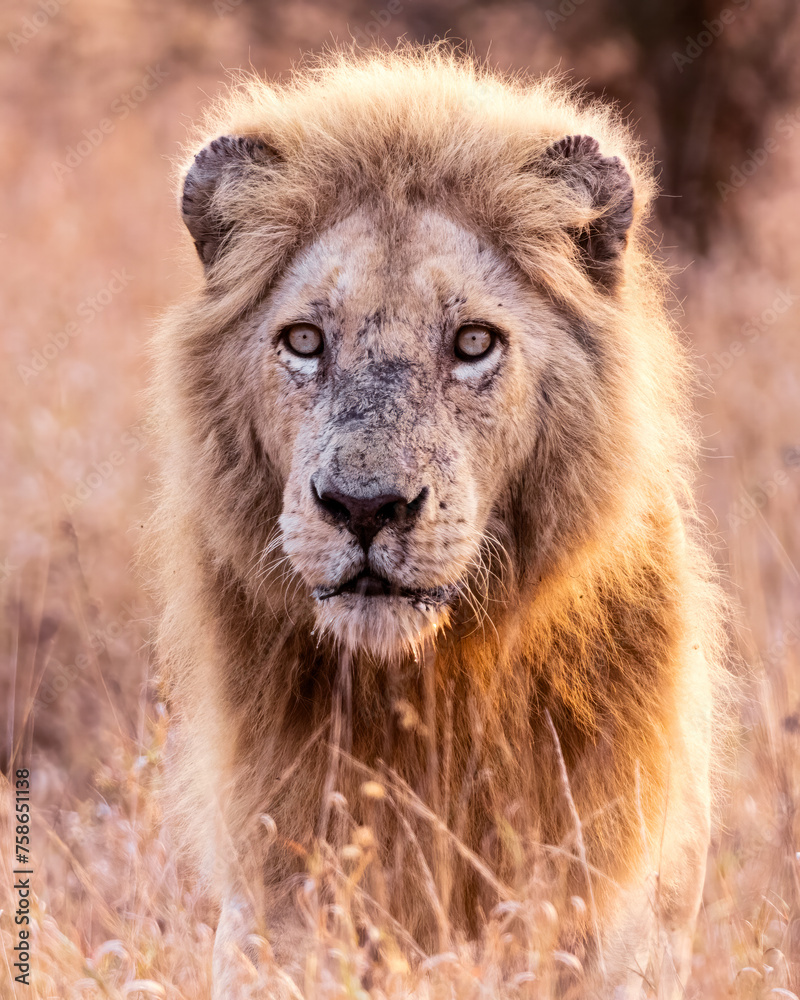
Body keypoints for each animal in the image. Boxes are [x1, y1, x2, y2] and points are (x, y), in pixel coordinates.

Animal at [148, 45, 724, 992]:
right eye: (305, 341)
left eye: (473, 344)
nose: (364, 505)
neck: (427, 686)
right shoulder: (274, 904)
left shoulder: (607, 915)